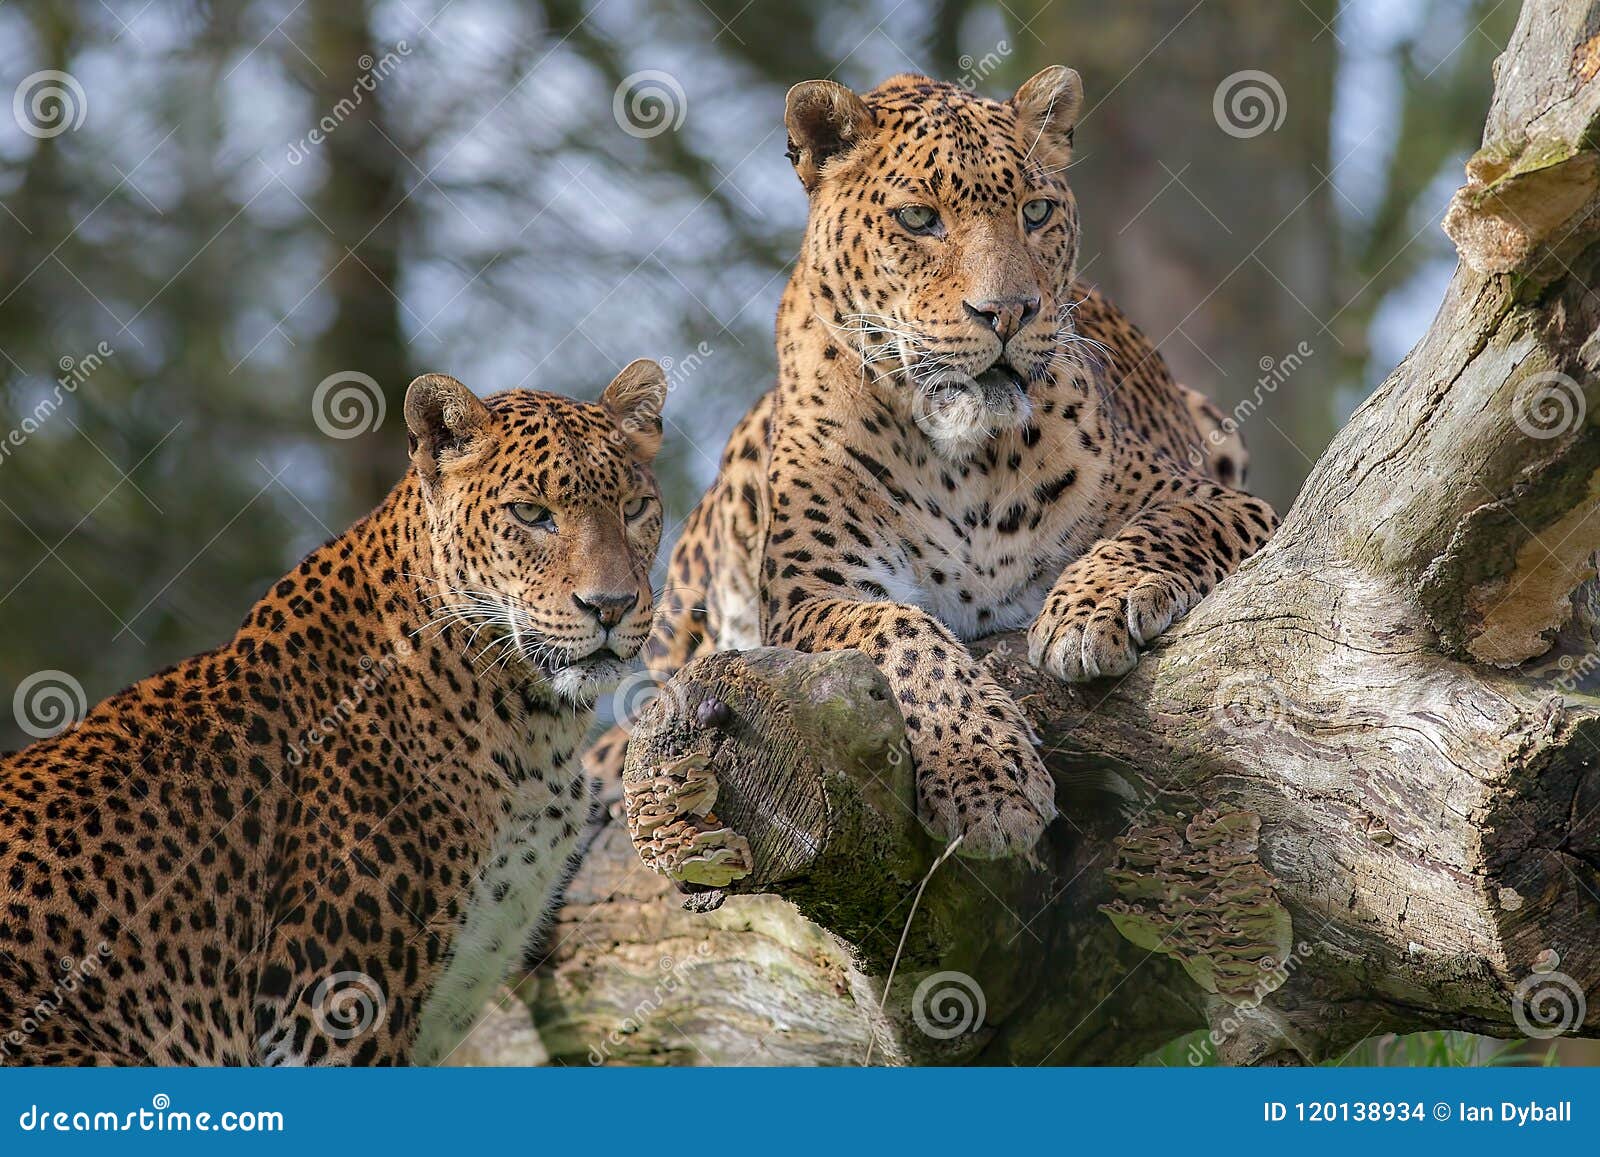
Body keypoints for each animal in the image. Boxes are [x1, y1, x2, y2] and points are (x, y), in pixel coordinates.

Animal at [595, 65, 1280, 857]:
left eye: (1037, 211)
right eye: (919, 219)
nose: (1008, 312)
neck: (963, 456)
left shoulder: (1224, 499)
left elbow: (1160, 528)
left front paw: (1091, 605)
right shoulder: (810, 597)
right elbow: (904, 637)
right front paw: (984, 777)